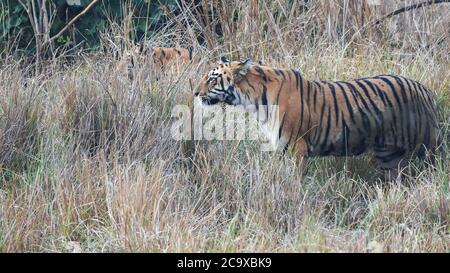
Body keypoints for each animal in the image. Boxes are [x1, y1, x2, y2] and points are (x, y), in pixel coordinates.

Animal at [193, 56, 442, 177]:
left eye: (212, 79)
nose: (195, 93)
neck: (253, 100)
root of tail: (426, 90)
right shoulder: (282, 149)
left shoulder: (296, 148)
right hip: (389, 155)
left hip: (427, 147)